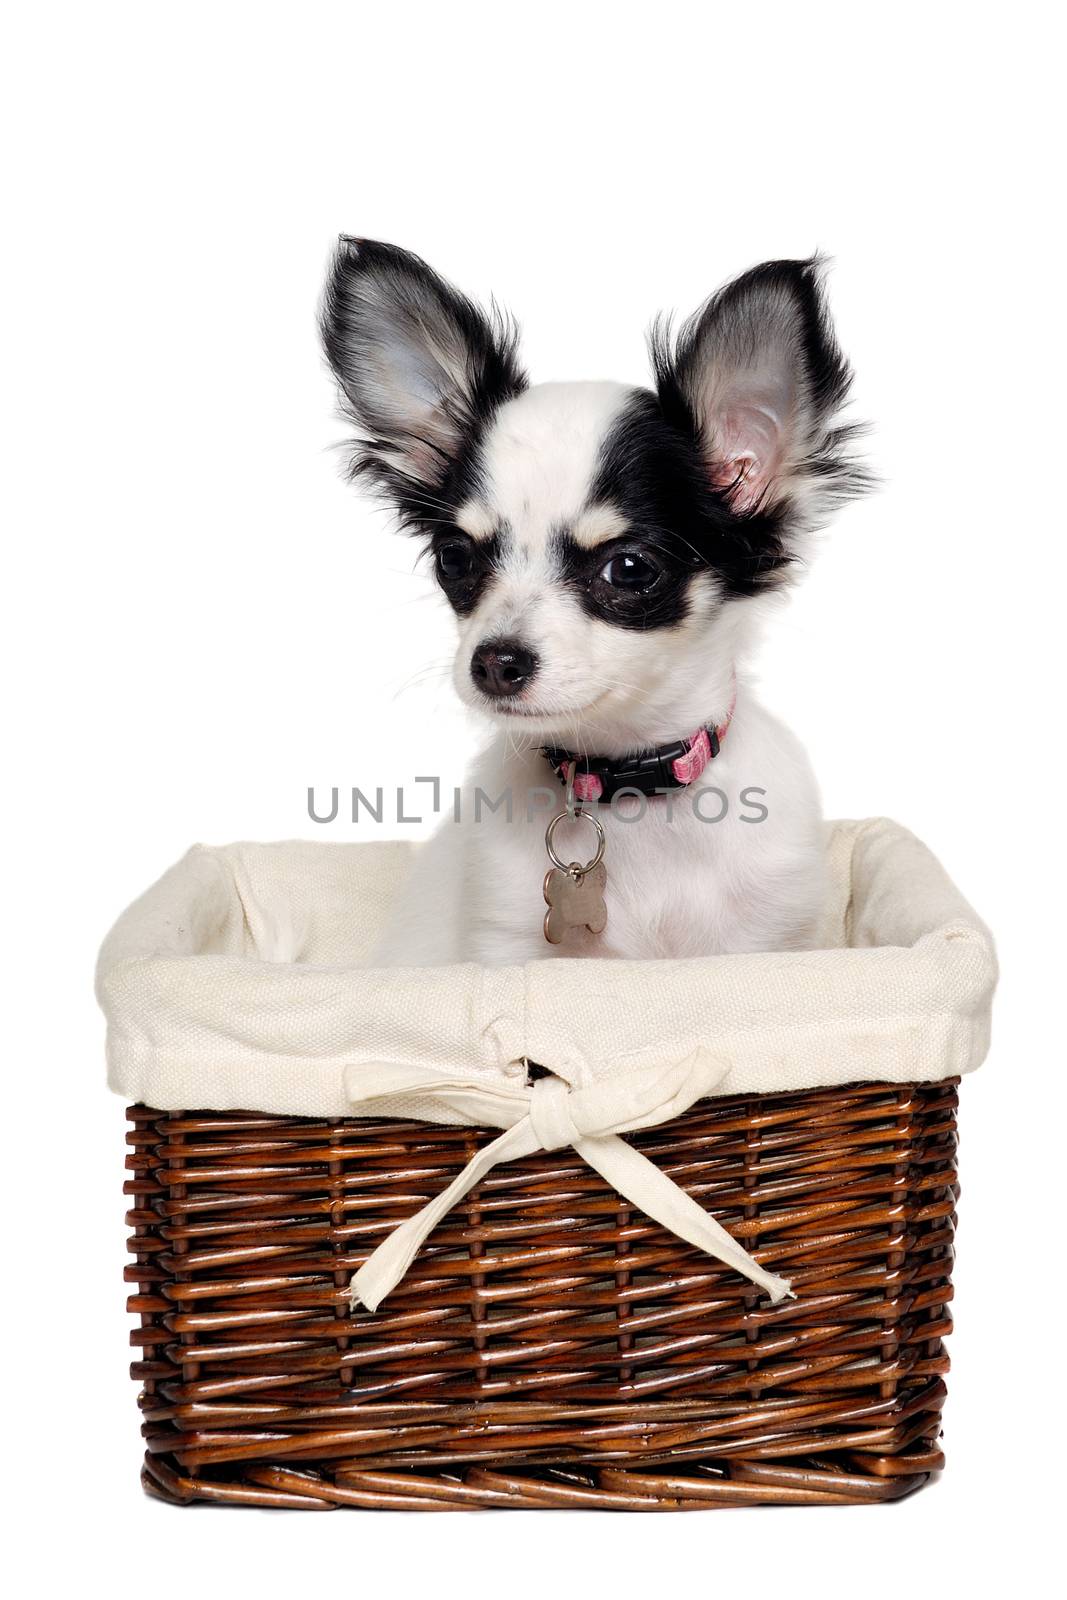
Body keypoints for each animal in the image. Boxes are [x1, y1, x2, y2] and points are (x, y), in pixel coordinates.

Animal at [321, 236, 863, 960]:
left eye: (628, 570)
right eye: (454, 558)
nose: (493, 663)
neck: (627, 790)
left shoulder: (764, 941)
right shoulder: (502, 945)